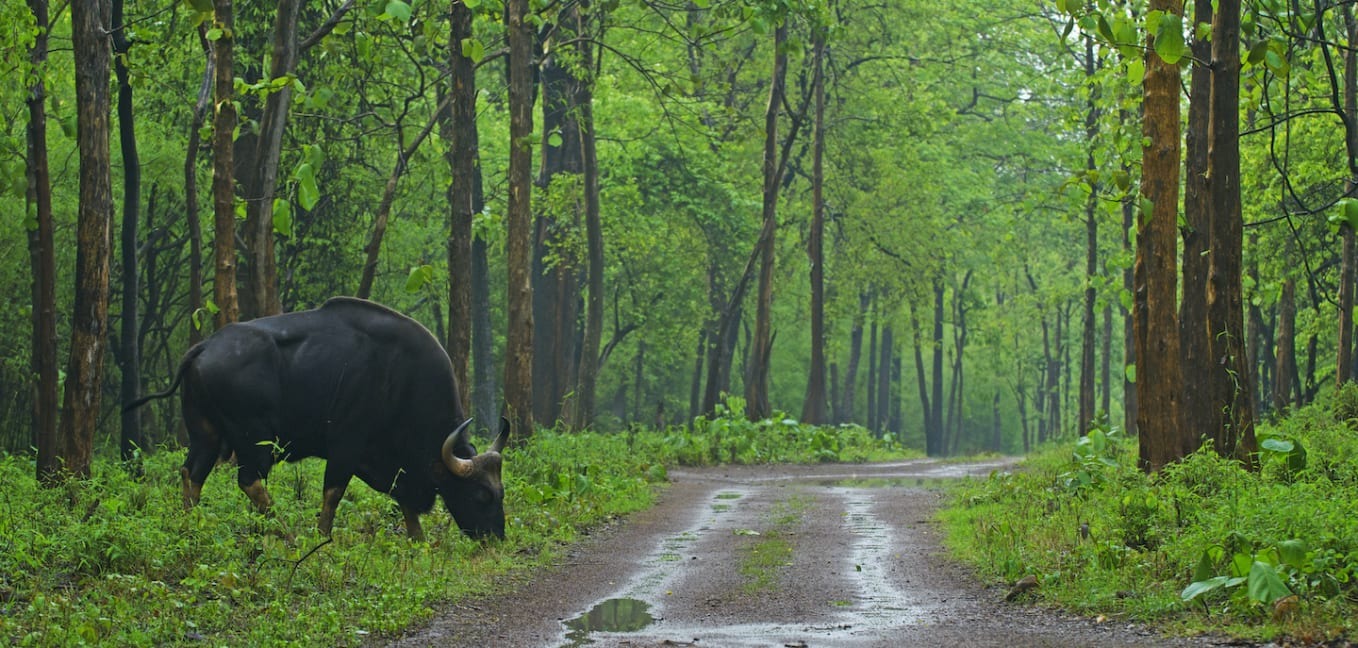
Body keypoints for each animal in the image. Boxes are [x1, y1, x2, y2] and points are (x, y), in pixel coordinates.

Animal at [127, 297, 506, 540]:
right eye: (481, 496)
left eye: (500, 494)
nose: (496, 537)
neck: (402, 380)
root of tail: (204, 347)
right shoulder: (346, 446)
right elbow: (333, 494)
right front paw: (322, 538)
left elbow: (403, 498)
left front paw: (418, 540)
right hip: (255, 439)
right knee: (249, 479)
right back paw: (283, 531)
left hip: (205, 434)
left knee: (191, 473)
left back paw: (190, 526)